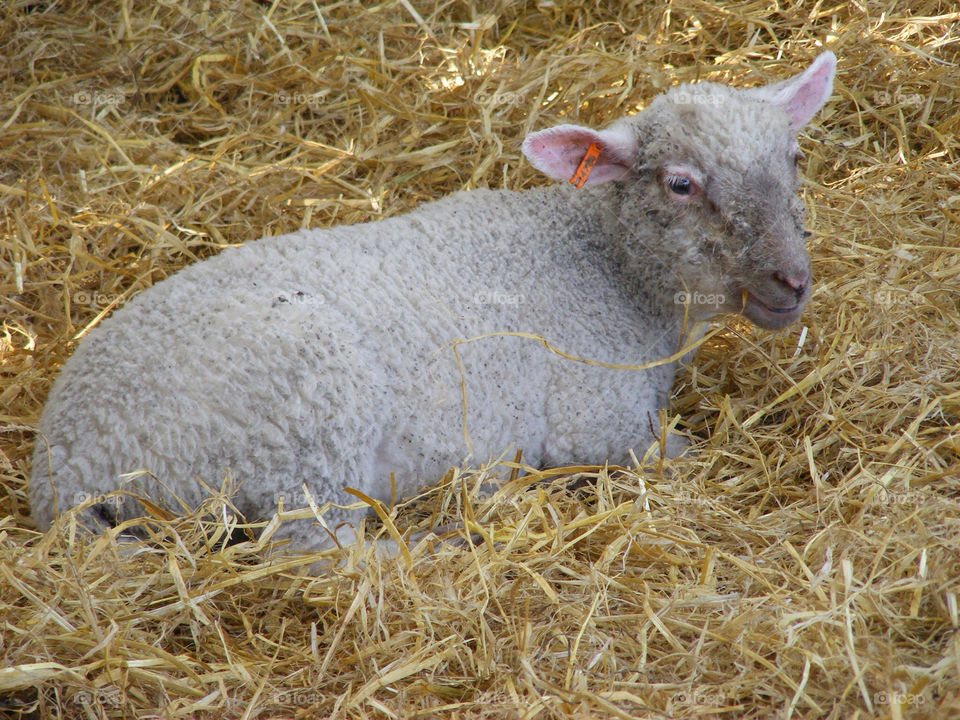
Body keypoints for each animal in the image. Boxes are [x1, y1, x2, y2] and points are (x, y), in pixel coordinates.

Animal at [30, 51, 836, 551]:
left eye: (794, 158)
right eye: (680, 184)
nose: (793, 283)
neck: (604, 266)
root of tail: (63, 474)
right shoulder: (597, 423)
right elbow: (676, 451)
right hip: (303, 419)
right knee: (314, 552)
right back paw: (439, 539)